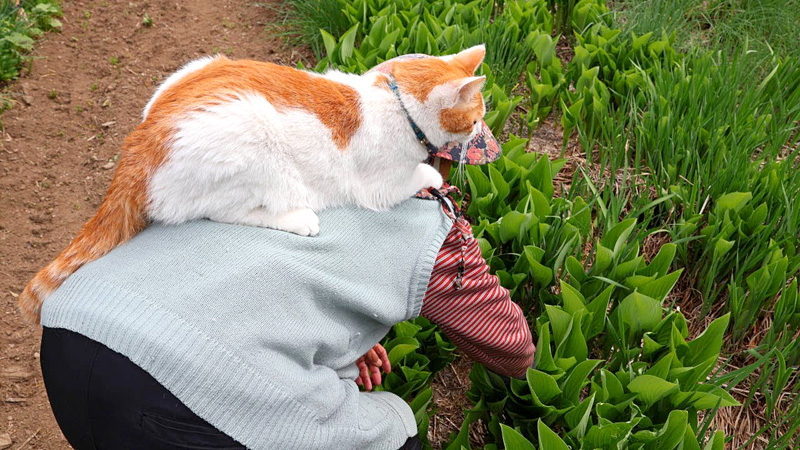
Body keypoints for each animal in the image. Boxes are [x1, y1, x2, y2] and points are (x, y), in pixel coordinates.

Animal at [18, 44, 490, 324]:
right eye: (476, 118)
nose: (479, 134)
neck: (395, 100)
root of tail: (139, 143)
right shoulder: (380, 187)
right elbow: (419, 175)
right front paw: (433, 172)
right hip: (253, 137)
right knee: (222, 212)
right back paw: (299, 219)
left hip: (199, 65)